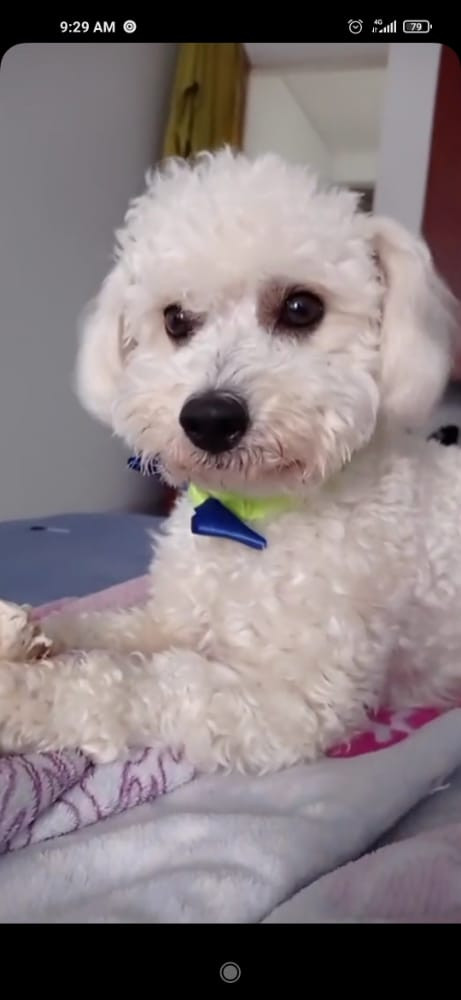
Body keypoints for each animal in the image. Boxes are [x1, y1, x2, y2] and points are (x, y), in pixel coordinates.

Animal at [0, 148, 459, 773]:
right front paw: (35, 635)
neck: (243, 518)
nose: (210, 419)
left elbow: (129, 684)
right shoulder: (170, 617)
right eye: (175, 319)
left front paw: (20, 694)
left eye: (301, 308)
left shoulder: (285, 701)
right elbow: (101, 623)